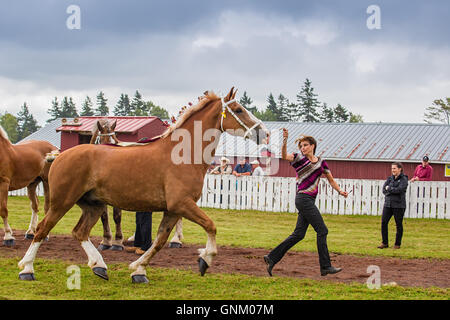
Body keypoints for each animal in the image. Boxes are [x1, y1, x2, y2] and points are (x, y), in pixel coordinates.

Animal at [18, 87, 268, 282]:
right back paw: (27, 269)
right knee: (42, 229)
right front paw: (205, 259)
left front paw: (138, 270)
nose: (263, 133)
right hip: (62, 202)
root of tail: (59, 155)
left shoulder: (173, 210)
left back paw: (100, 266)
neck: (182, 155)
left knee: (79, 232)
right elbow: (210, 226)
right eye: (238, 110)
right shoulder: (182, 204)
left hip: (93, 206)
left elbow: (159, 241)